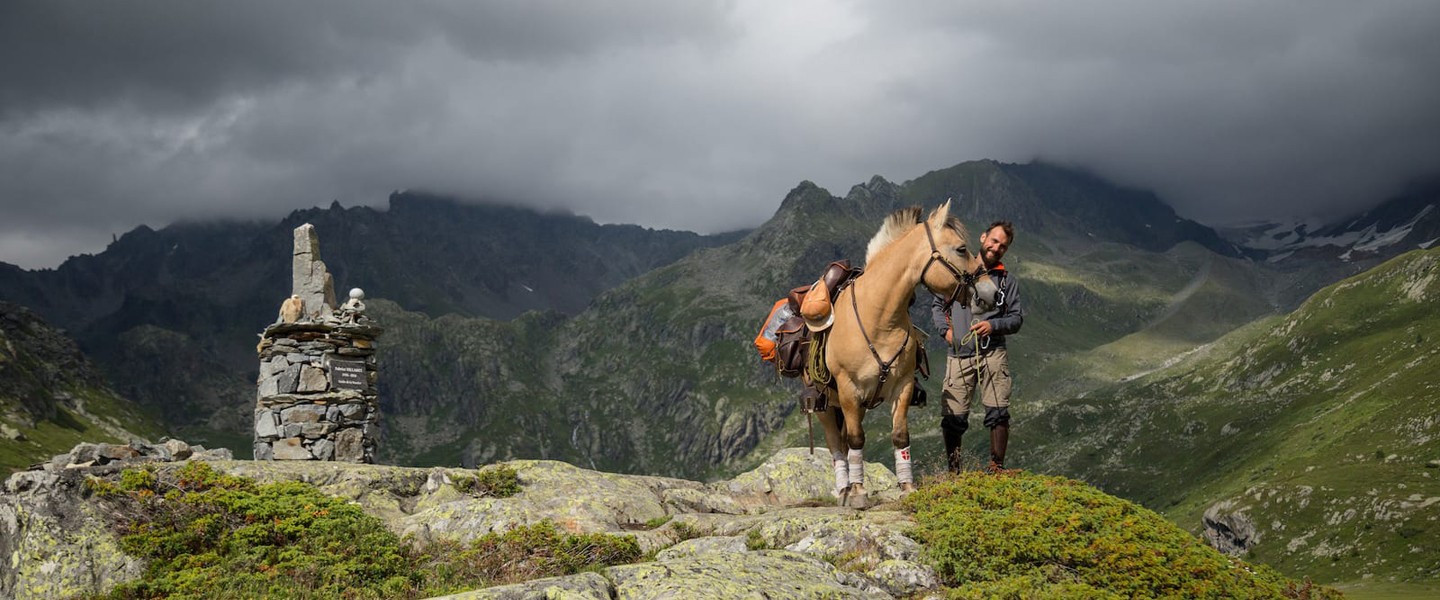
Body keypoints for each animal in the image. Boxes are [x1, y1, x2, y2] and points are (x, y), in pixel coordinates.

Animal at [823, 201, 979, 506]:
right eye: (961, 248)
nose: (988, 289)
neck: (879, 318)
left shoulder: (902, 386)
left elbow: (899, 435)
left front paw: (907, 487)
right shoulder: (848, 389)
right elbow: (857, 440)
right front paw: (859, 492)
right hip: (825, 404)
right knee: (837, 444)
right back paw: (844, 489)